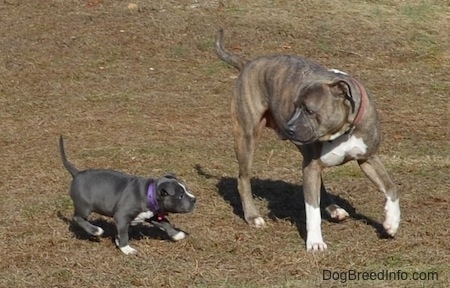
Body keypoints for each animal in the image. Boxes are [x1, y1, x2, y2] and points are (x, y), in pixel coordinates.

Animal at [59, 136, 196, 255]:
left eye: (186, 190)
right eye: (181, 196)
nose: (194, 199)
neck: (148, 194)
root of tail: (77, 174)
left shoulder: (152, 215)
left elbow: (165, 223)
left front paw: (177, 234)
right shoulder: (121, 216)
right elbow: (124, 234)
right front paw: (126, 248)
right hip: (84, 206)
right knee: (77, 218)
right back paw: (95, 230)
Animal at [215, 28, 400, 251]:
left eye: (309, 110)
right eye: (295, 106)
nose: (289, 127)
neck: (343, 131)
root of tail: (248, 63)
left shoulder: (368, 158)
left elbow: (391, 187)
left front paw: (392, 223)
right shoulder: (311, 165)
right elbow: (312, 210)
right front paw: (315, 242)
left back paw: (334, 209)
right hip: (247, 136)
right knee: (243, 179)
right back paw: (253, 216)